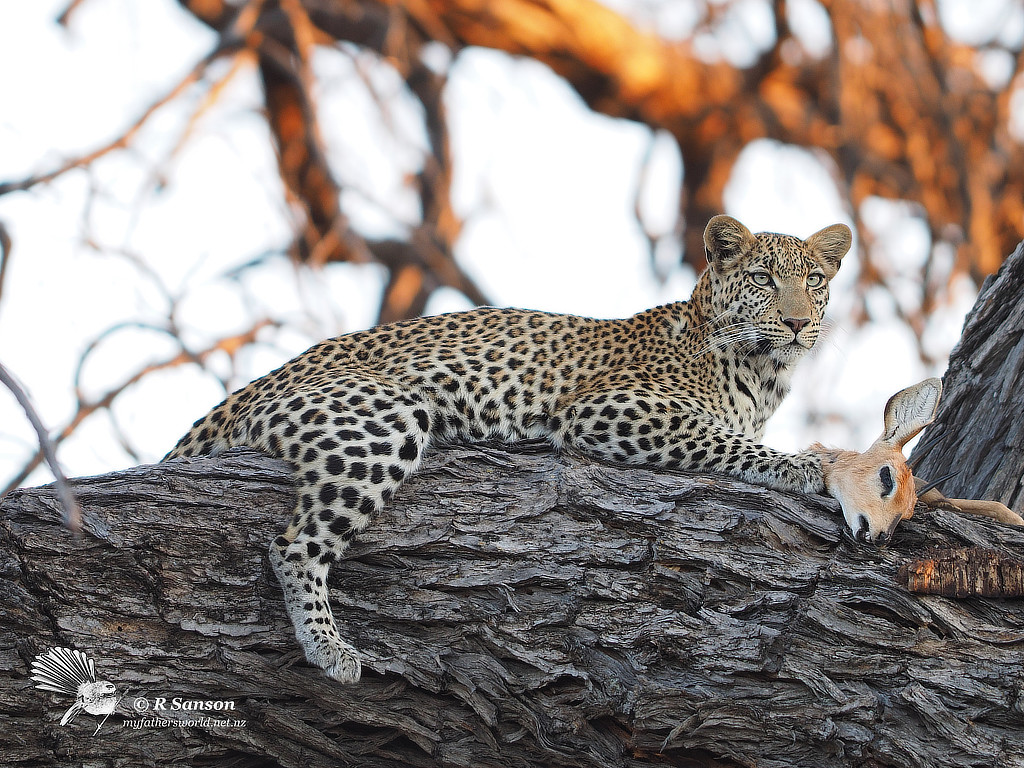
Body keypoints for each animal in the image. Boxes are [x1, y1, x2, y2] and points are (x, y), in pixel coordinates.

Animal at [167, 215, 851, 684]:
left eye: (814, 281)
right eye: (763, 279)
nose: (797, 323)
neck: (762, 375)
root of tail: (250, 387)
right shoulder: (610, 408)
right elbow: (725, 441)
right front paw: (807, 465)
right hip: (387, 417)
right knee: (293, 547)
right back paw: (330, 649)